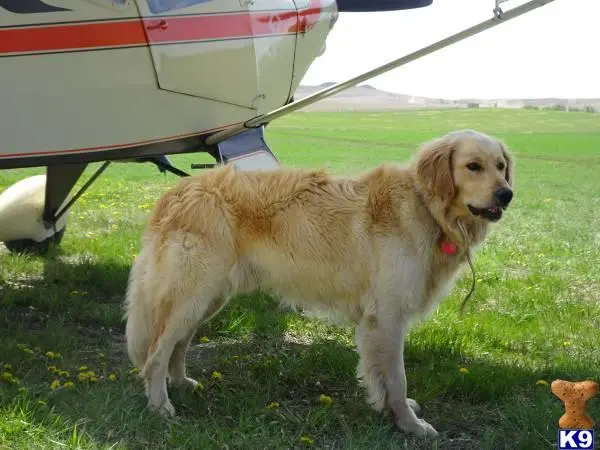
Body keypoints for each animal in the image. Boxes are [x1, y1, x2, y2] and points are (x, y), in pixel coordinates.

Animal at [124, 128, 512, 438]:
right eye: (473, 166)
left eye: (501, 166)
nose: (506, 195)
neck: (426, 206)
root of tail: (180, 190)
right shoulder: (387, 318)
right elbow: (397, 379)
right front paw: (409, 425)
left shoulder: (380, 322)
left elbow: (383, 378)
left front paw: (389, 409)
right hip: (191, 295)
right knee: (156, 354)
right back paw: (160, 406)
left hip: (206, 298)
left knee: (178, 344)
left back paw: (181, 384)